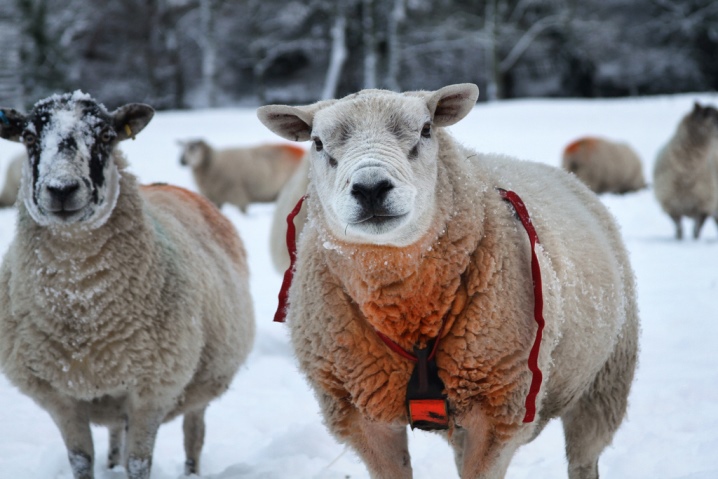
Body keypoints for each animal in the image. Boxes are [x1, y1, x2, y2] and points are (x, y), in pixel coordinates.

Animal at [0, 91, 258, 479]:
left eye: (107, 136)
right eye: (28, 138)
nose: (62, 190)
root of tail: (170, 184)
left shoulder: (152, 390)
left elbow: (139, 464)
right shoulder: (59, 396)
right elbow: (81, 461)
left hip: (202, 382)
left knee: (194, 434)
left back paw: (191, 470)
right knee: (114, 436)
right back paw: (112, 463)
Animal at [258, 83, 640, 479]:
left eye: (426, 130)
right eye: (317, 142)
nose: (371, 188)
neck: (405, 308)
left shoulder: (500, 409)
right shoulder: (362, 415)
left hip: (604, 382)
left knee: (584, 458)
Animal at [652, 103, 718, 242]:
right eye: (711, 117)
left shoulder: (705, 204)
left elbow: (696, 231)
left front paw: (695, 242)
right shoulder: (671, 204)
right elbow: (679, 229)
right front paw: (679, 239)